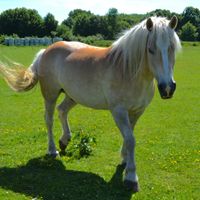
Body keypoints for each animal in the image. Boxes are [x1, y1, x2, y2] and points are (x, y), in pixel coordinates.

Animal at [0, 16, 181, 192]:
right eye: (150, 49)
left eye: (172, 48)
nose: (167, 88)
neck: (127, 69)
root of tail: (46, 50)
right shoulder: (119, 111)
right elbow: (130, 139)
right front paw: (131, 177)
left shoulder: (137, 111)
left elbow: (129, 137)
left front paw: (124, 160)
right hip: (50, 95)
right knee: (49, 120)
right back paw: (52, 150)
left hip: (72, 96)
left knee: (62, 111)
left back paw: (64, 140)